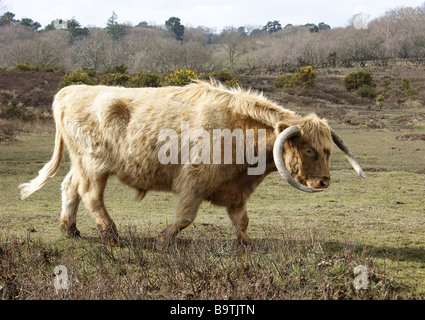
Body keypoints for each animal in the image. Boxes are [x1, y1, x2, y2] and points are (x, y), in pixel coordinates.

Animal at [19, 80, 364, 245]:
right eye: (308, 149)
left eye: (328, 150)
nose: (324, 181)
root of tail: (68, 91)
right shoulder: (193, 183)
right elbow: (184, 217)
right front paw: (162, 240)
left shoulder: (237, 191)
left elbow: (242, 221)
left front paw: (248, 244)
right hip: (94, 165)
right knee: (91, 195)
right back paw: (111, 234)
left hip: (80, 164)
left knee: (70, 188)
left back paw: (70, 230)